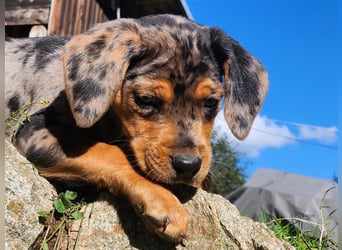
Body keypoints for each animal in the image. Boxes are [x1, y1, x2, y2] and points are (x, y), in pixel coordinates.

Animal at [4, 14, 268, 243]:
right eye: (145, 99)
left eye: (211, 102)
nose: (188, 165)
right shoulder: (34, 133)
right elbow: (111, 153)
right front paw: (164, 201)